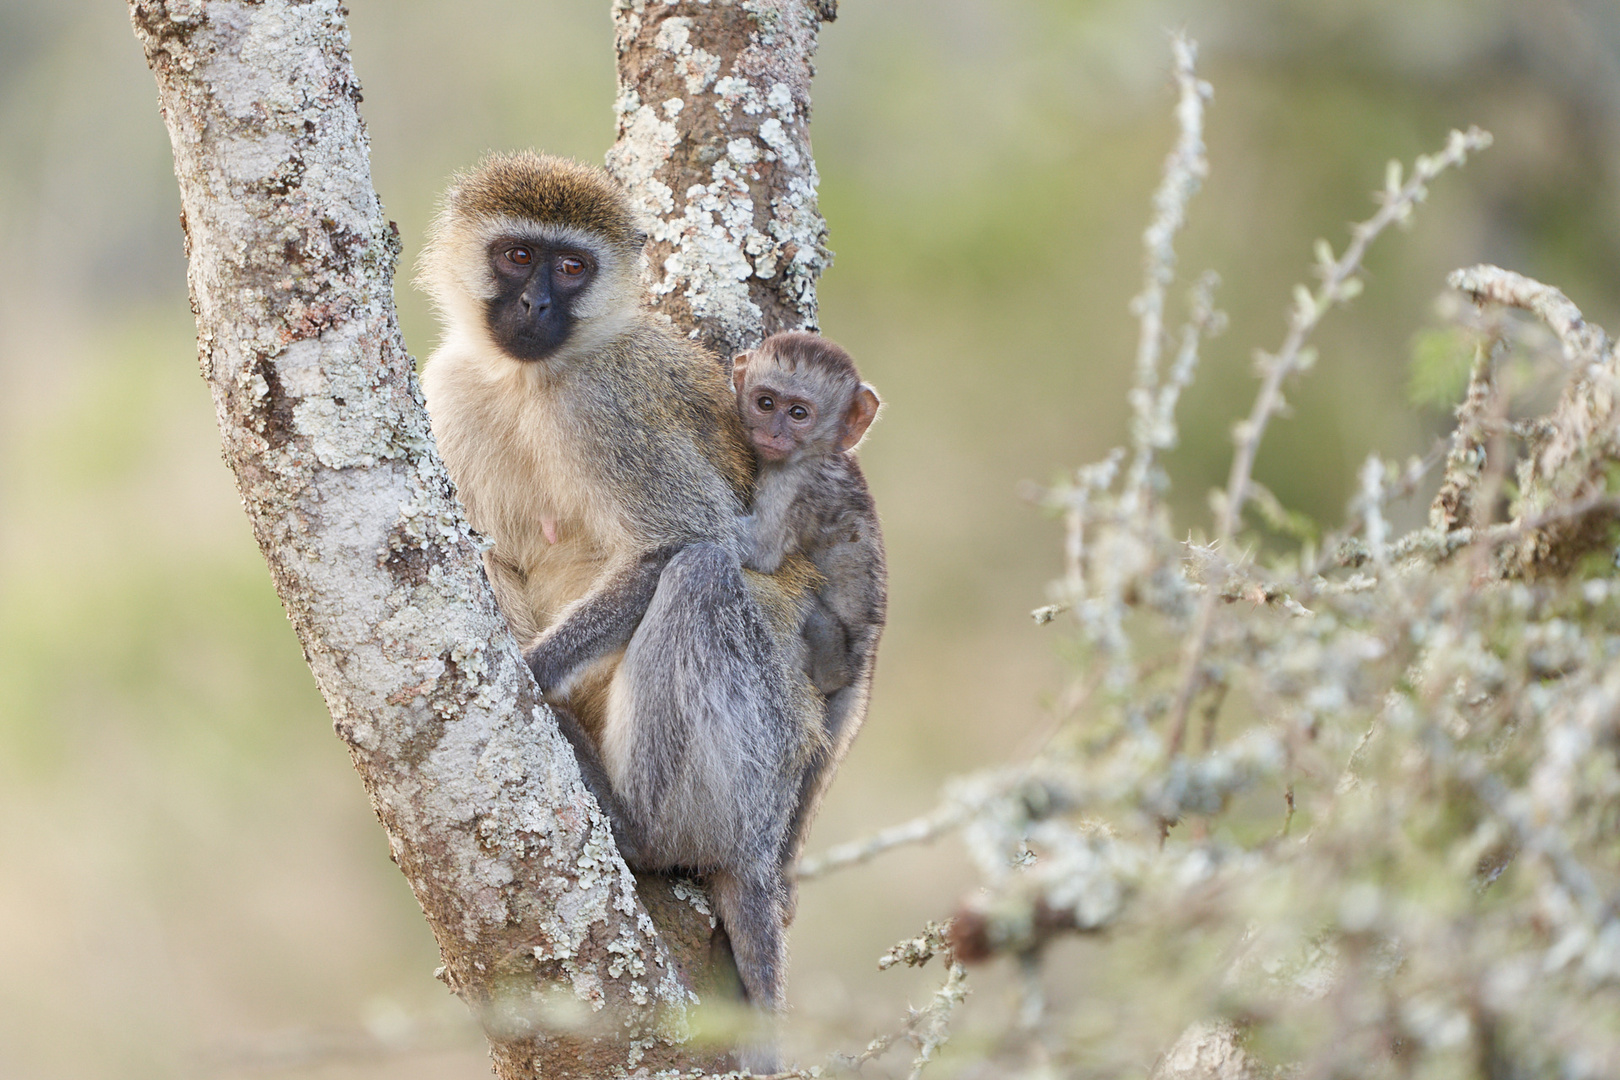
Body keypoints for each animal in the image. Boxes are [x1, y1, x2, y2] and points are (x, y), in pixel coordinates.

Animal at [732, 330, 887, 777]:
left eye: (798, 413)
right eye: (766, 403)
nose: (774, 433)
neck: (823, 454)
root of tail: (865, 664)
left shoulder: (795, 481)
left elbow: (761, 553)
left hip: (833, 656)